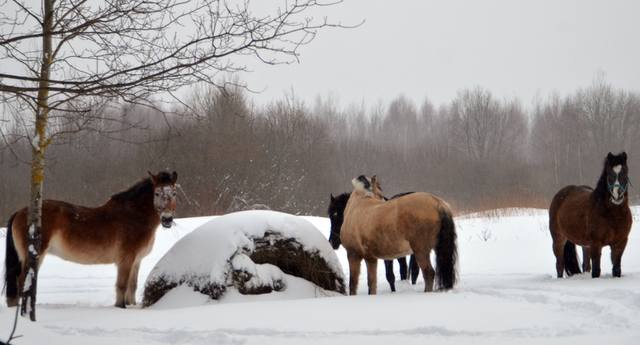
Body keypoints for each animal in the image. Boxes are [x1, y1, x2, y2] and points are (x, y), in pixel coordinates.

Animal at [3, 171, 179, 308]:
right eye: (157, 193)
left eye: (174, 193)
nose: (167, 219)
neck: (134, 216)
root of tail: (20, 212)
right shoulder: (126, 260)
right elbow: (122, 285)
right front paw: (120, 307)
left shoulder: (136, 261)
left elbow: (132, 287)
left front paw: (131, 305)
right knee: (21, 281)